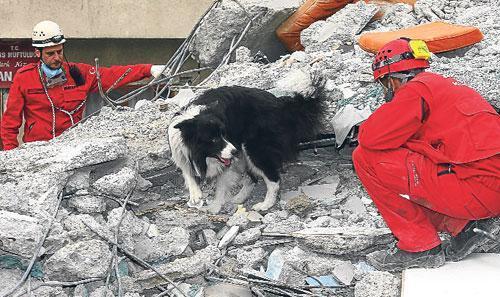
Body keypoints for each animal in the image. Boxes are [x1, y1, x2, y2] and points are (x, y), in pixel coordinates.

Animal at [168, 85, 324, 213]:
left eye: (225, 134)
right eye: (213, 140)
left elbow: (221, 185)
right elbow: (188, 172)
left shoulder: (230, 160)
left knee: (272, 178)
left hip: (253, 149)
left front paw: (214, 207)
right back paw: (239, 198)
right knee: (252, 178)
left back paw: (265, 204)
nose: (234, 151)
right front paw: (196, 195)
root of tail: (281, 106)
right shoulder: (182, 153)